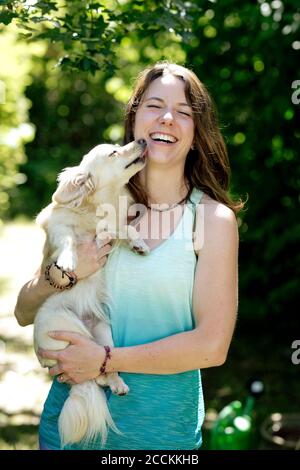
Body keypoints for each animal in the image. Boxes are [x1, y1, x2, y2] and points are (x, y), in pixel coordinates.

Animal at [33, 140, 149, 448]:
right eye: (114, 152)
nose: (142, 141)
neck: (99, 207)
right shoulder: (57, 226)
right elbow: (68, 239)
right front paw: (68, 262)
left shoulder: (112, 228)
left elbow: (123, 228)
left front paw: (137, 242)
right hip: (67, 325)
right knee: (94, 376)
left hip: (102, 331)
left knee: (103, 366)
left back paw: (117, 383)